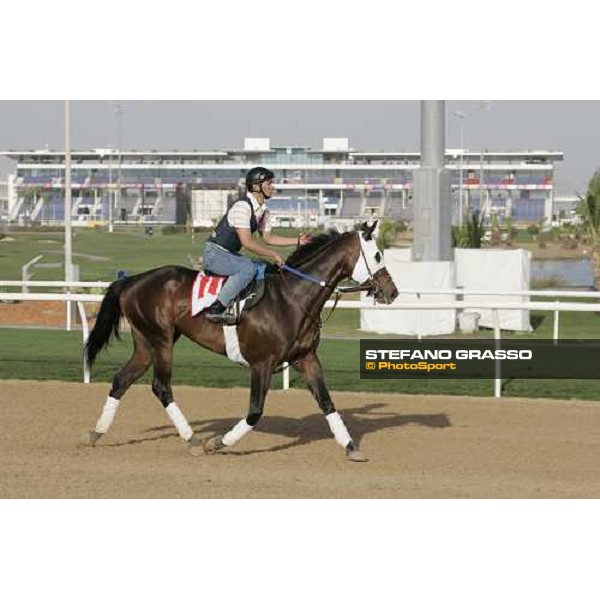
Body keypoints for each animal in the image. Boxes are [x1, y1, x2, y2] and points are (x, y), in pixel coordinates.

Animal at [83, 220, 398, 460]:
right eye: (378, 255)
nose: (392, 292)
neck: (292, 299)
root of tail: (132, 280)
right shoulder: (262, 363)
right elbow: (255, 412)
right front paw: (217, 443)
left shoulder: (306, 358)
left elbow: (327, 403)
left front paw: (351, 447)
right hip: (161, 340)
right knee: (161, 387)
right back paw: (193, 439)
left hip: (146, 343)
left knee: (121, 380)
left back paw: (96, 433)